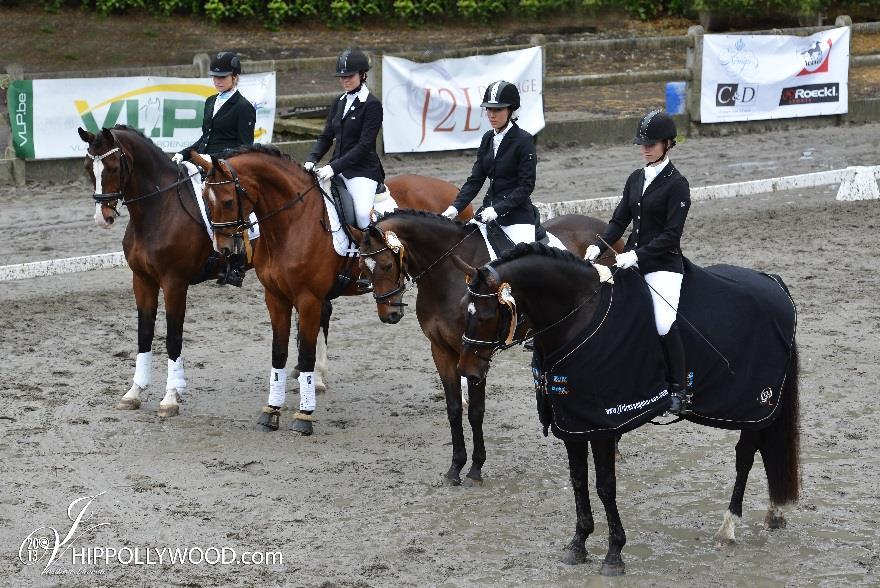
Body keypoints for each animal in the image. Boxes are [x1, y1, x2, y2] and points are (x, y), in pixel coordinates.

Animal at [191, 145, 468, 434]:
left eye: (227, 202)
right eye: (205, 199)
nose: (223, 249)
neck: (292, 222)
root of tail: (450, 189)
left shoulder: (309, 299)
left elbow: (306, 352)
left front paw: (304, 414)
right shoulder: (275, 297)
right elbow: (279, 352)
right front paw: (271, 410)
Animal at [354, 211, 624, 486]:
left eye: (387, 265)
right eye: (363, 268)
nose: (389, 314)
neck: (444, 276)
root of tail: (600, 226)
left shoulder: (475, 353)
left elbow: (475, 411)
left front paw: (475, 468)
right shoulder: (441, 350)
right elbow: (453, 409)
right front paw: (455, 467)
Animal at [458, 242, 800, 576]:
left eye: (485, 315)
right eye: (465, 310)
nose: (467, 372)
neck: (579, 317)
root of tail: (773, 283)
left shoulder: (603, 424)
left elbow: (605, 486)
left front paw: (614, 553)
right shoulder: (573, 423)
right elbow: (578, 480)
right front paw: (578, 544)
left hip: (753, 403)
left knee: (746, 455)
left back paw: (728, 529)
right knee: (765, 449)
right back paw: (774, 514)